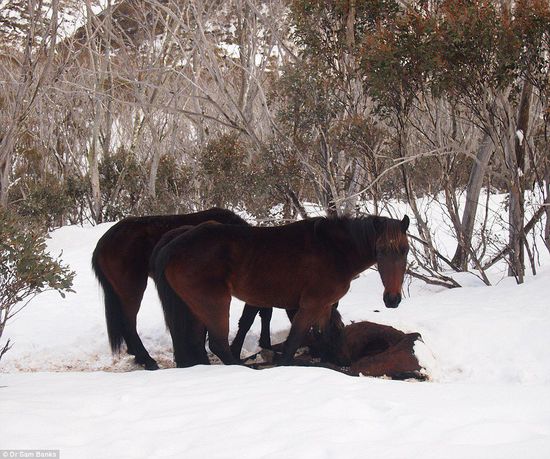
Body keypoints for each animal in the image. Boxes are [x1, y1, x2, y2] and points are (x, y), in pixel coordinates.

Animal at [151, 214, 410, 368]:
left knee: (197, 343)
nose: (392, 299)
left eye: (405, 250)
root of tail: (174, 245)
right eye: (380, 250)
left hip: (194, 308)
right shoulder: (310, 306)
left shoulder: (325, 307)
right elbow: (293, 343)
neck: (333, 250)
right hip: (214, 304)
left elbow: (325, 337)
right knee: (218, 344)